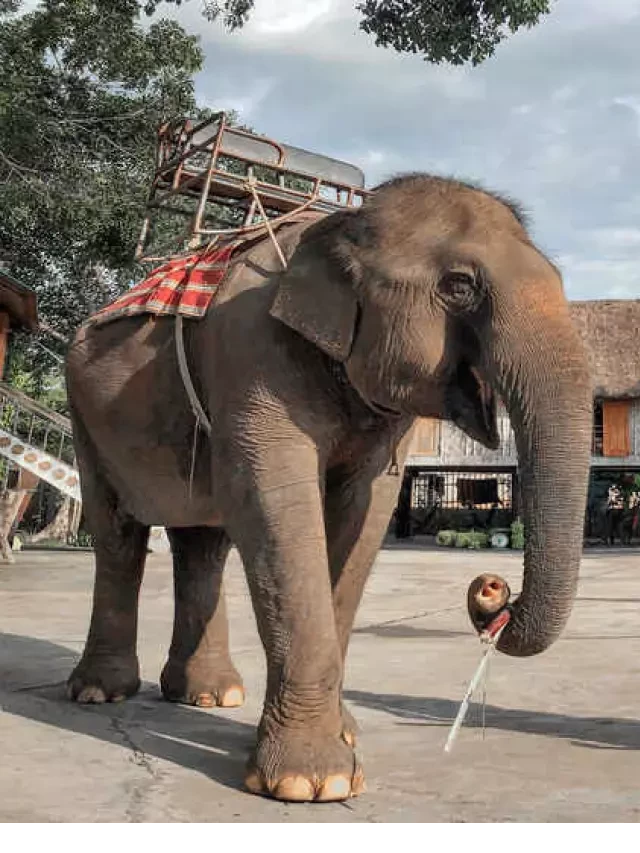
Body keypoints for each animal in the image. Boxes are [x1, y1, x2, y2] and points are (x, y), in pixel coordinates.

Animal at [62, 175, 592, 804]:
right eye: (460, 286)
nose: (491, 587)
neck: (340, 227)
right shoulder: (250, 352)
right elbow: (276, 505)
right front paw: (312, 783)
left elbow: (365, 513)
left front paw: (344, 736)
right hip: (85, 418)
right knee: (118, 536)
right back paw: (101, 692)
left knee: (202, 546)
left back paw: (211, 696)